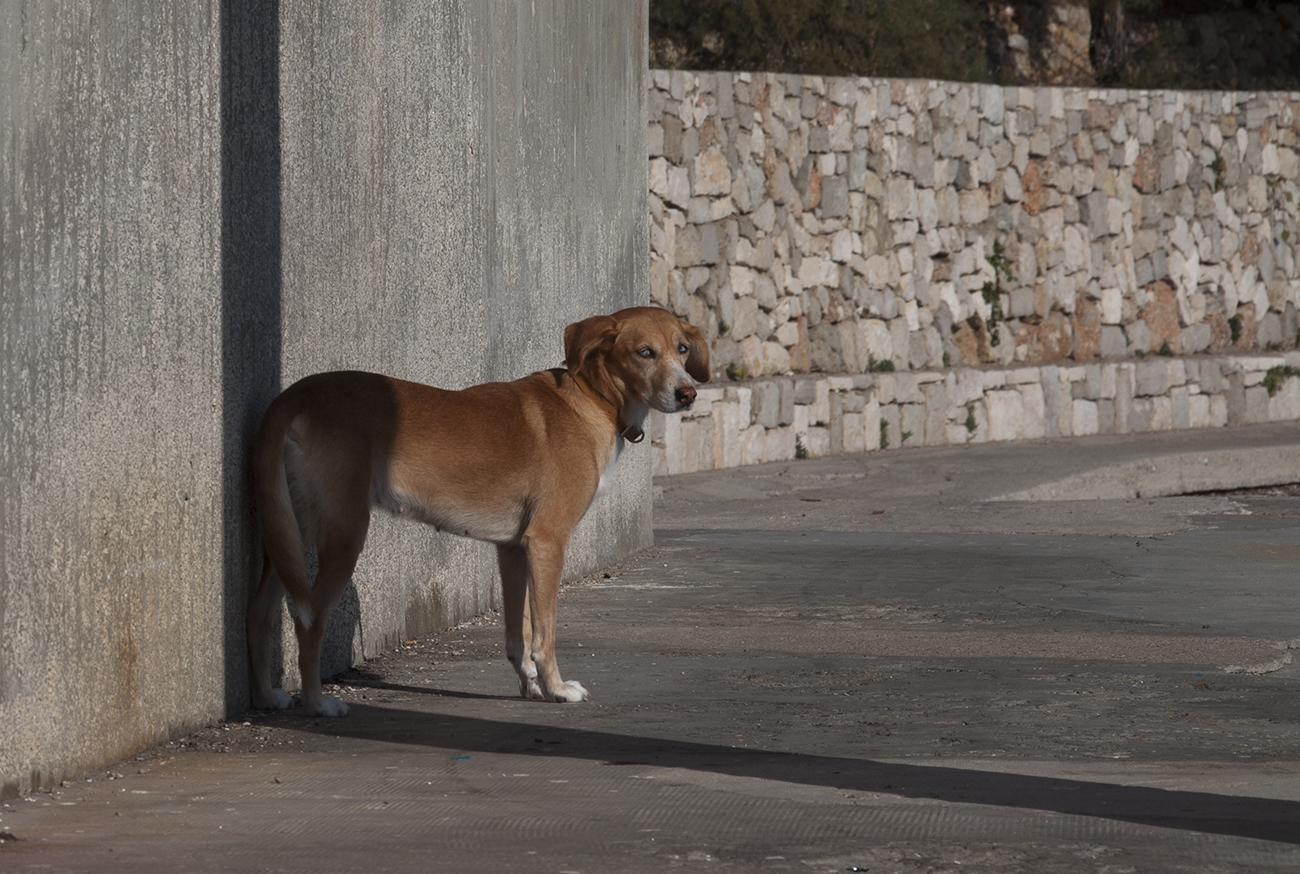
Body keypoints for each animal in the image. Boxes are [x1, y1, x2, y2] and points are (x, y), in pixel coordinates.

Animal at [248, 306, 709, 716]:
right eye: (644, 352)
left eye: (682, 348)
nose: (688, 393)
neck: (592, 398)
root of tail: (295, 395)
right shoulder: (547, 542)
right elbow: (544, 633)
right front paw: (556, 688)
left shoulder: (513, 549)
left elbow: (517, 635)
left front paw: (531, 686)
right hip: (343, 534)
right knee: (307, 622)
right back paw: (316, 704)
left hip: (289, 533)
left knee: (260, 612)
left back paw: (267, 696)